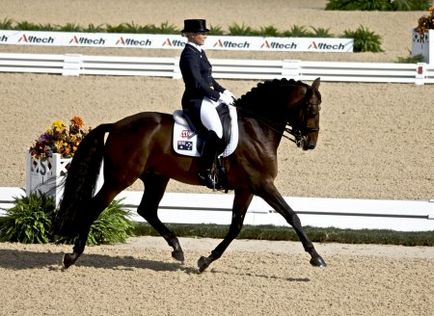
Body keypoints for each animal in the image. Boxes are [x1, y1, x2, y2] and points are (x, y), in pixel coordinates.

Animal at [53, 76, 326, 272]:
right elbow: (292, 216)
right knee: (95, 207)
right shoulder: (262, 184)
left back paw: (177, 249)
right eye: (312, 110)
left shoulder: (246, 188)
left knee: (147, 209)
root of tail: (117, 125)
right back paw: (72, 256)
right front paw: (317, 257)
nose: (311, 144)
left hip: (156, 177)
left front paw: (205, 261)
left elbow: (236, 227)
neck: (255, 128)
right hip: (119, 178)